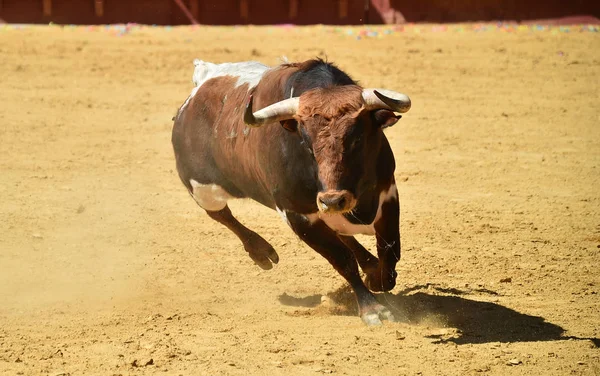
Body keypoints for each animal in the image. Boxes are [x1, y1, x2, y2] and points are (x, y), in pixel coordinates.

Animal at [171, 58, 410, 326]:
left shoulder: (387, 192)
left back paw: (369, 265)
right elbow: (342, 260)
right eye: (306, 143)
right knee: (222, 215)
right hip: (201, 188)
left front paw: (380, 278)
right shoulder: (297, 214)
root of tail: (202, 83)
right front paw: (372, 307)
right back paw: (261, 252)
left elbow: (390, 248)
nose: (333, 199)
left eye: (358, 139)